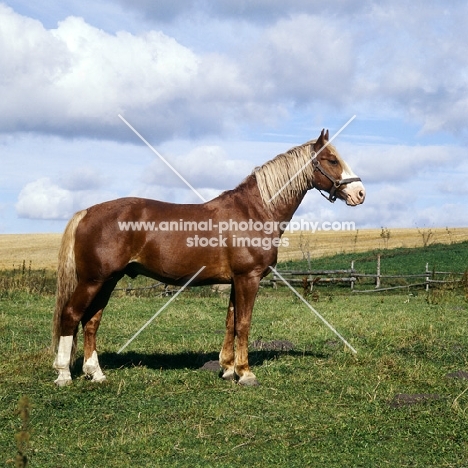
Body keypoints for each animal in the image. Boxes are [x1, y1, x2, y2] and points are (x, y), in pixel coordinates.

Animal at [52, 130, 366, 386]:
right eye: (331, 160)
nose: (360, 193)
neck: (254, 211)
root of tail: (87, 212)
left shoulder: (235, 280)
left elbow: (230, 322)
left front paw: (227, 369)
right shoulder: (248, 278)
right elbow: (243, 323)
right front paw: (245, 373)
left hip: (108, 280)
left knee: (91, 322)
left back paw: (96, 374)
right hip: (93, 280)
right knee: (71, 316)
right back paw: (64, 375)